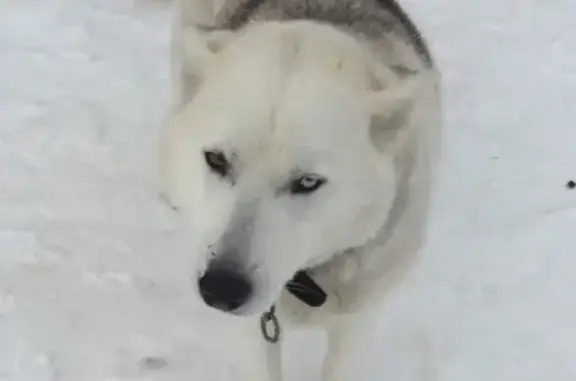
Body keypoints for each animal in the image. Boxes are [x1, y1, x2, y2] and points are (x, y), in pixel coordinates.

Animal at [158, 0, 440, 378]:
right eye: (216, 160)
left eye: (308, 182)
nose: (221, 288)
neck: (305, 278)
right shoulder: (255, 329)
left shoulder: (356, 323)